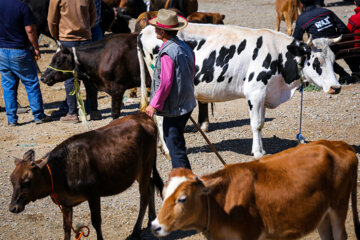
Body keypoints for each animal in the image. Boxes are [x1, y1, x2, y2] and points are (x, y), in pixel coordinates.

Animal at [8, 113, 163, 240]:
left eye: (27, 181)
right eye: (12, 180)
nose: (12, 208)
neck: (63, 170)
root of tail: (144, 116)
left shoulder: (93, 194)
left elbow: (96, 222)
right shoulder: (65, 202)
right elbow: (66, 227)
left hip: (146, 166)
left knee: (144, 197)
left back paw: (136, 231)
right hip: (138, 171)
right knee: (150, 186)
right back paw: (151, 219)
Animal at [136, 23, 342, 158]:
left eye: (333, 60)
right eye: (317, 61)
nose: (336, 87)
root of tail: (146, 29)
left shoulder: (265, 94)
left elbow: (261, 123)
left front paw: (260, 149)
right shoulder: (255, 93)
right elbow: (256, 124)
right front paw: (258, 153)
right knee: (160, 118)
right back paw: (167, 150)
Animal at [152, 140, 360, 239]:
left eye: (182, 198)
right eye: (162, 195)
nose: (155, 226)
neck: (222, 203)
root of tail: (337, 145)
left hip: (339, 207)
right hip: (322, 215)